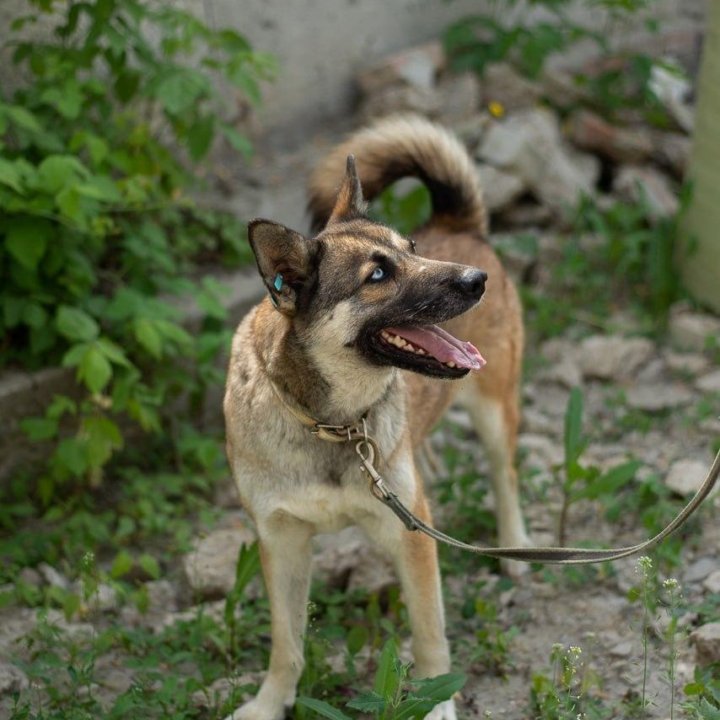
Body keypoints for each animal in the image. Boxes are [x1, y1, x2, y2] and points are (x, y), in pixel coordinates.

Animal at [222, 115, 524, 716]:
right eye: (378, 275)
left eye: (413, 249)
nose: (475, 279)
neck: (331, 421)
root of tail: (462, 225)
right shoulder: (280, 543)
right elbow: (286, 643)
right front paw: (270, 702)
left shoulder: (410, 536)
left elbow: (430, 637)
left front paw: (437, 702)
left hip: (495, 410)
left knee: (504, 475)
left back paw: (516, 547)